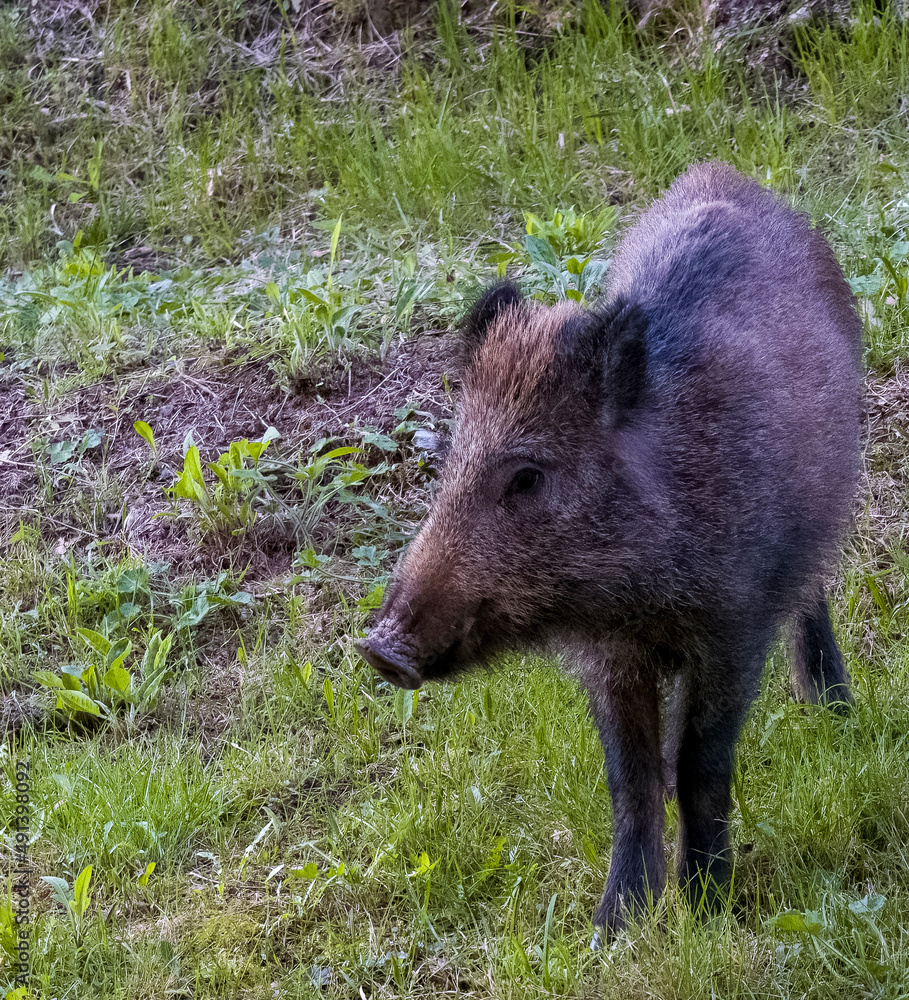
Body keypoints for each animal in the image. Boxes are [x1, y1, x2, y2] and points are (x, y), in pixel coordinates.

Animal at [357, 161, 862, 940]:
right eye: (451, 461)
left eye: (528, 476)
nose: (380, 648)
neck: (634, 594)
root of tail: (723, 172)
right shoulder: (609, 656)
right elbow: (631, 778)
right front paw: (613, 930)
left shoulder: (733, 628)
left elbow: (698, 768)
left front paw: (706, 914)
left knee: (813, 594)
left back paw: (833, 713)